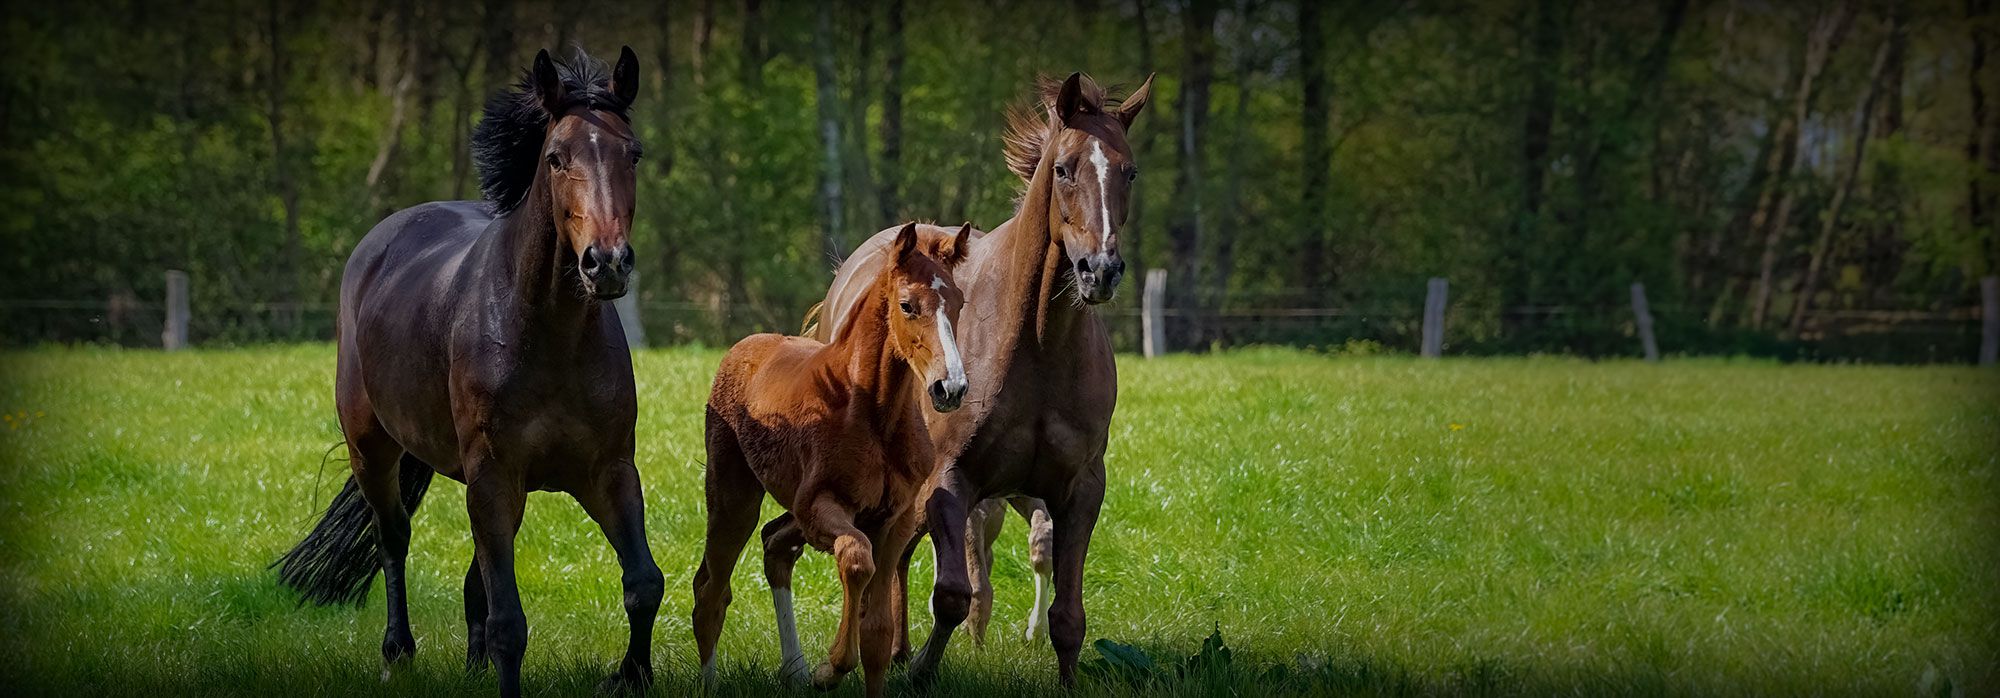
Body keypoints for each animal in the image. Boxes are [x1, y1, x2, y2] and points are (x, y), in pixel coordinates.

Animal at [274, 49, 656, 696]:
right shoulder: (494, 475)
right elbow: (510, 623)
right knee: (393, 538)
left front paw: (633, 676)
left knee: (474, 577)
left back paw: (471, 663)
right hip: (374, 448)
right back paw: (397, 652)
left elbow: (643, 584)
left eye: (632, 153)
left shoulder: (606, 472)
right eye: (556, 158)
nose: (606, 263)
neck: (546, 336)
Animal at [696, 222, 976, 696]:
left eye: (957, 302)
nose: (950, 387)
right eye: (907, 305)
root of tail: (744, 347)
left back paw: (792, 669)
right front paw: (830, 668)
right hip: (733, 499)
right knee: (711, 588)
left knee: (772, 549)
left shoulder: (895, 519)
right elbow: (855, 556)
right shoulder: (818, 507)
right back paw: (711, 681)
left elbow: (878, 631)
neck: (873, 413)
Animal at [800, 73, 1152, 684]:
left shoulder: (1080, 489)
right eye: (1064, 169)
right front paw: (920, 671)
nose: (1100, 272)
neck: (1036, 347)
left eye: (1128, 171)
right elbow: (952, 595)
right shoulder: (951, 483)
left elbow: (1068, 616)